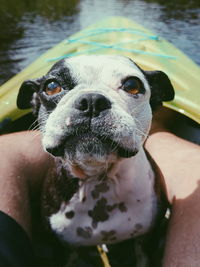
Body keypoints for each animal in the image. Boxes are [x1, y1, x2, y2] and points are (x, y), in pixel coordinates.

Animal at [16, 54, 173, 266]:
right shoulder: (61, 247)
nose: (91, 100)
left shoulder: (148, 240)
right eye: (51, 86)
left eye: (132, 85)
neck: (98, 178)